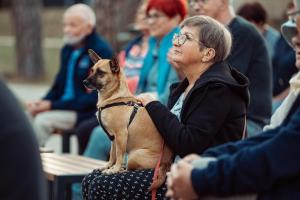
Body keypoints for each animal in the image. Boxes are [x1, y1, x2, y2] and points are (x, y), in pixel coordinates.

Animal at [84, 49, 173, 190]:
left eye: (101, 73)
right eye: (92, 70)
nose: (84, 82)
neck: (115, 98)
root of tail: (166, 165)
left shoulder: (121, 135)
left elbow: (119, 154)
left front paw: (113, 169)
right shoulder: (113, 138)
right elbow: (112, 154)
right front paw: (109, 165)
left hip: (133, 156)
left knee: (130, 169)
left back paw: (120, 170)